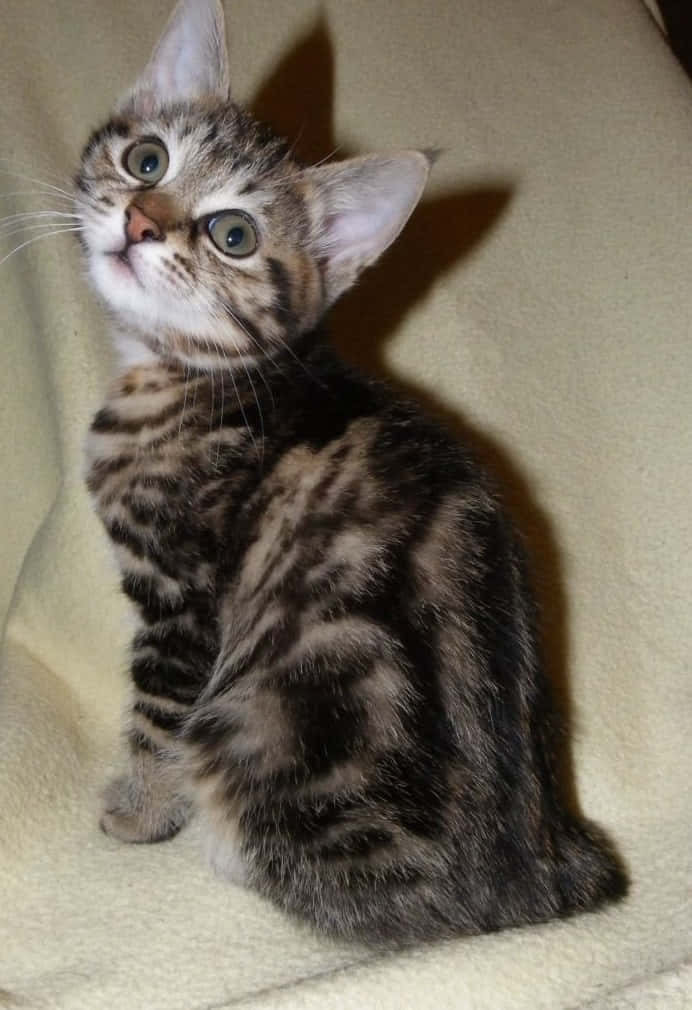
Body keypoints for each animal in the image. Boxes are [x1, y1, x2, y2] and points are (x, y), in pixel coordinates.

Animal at [78, 0, 622, 945]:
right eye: (146, 159)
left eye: (232, 235)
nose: (141, 222)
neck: (187, 374)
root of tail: (538, 878)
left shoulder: (185, 603)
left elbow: (156, 718)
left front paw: (139, 810)